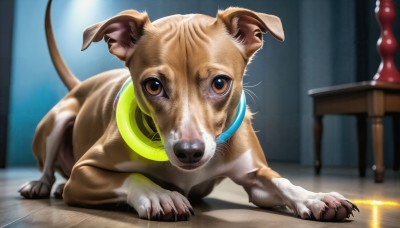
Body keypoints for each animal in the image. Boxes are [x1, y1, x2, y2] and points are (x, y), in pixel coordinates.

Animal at [18, 0, 358, 221]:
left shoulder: (256, 176)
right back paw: (42, 185)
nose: (190, 151)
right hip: (57, 121)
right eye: (154, 86)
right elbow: (131, 177)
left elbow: (282, 183)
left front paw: (315, 197)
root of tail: (82, 84)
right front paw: (159, 195)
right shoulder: (84, 173)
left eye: (220, 83)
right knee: (48, 168)